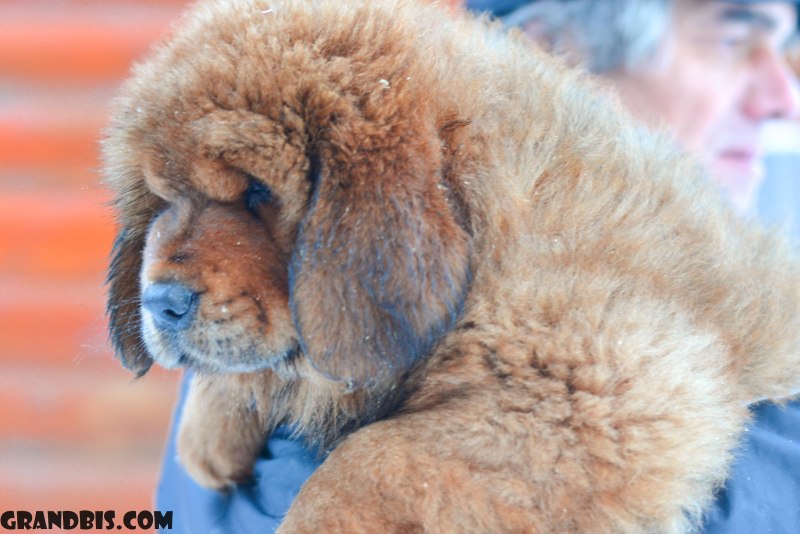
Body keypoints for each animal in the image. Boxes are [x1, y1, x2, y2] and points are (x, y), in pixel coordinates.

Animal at [104, 0, 800, 531]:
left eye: (255, 193)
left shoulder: (602, 391)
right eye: (163, 201)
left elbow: (371, 460)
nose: (160, 304)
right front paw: (209, 428)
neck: (483, 233)